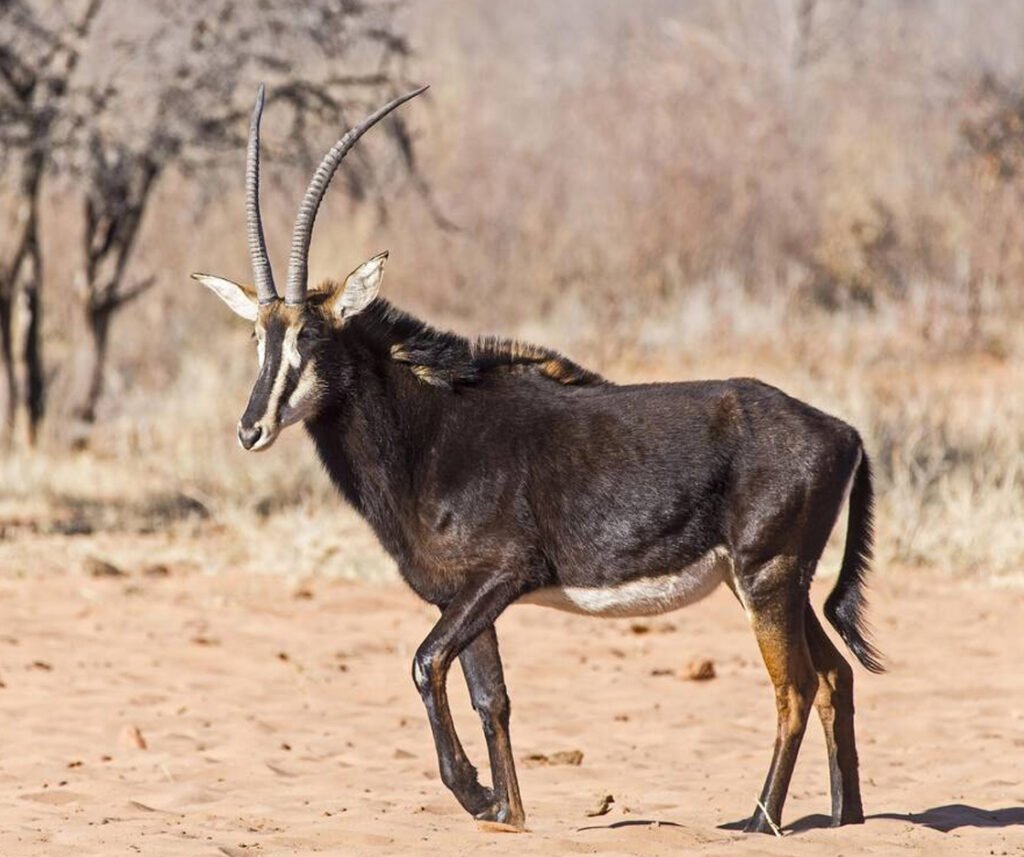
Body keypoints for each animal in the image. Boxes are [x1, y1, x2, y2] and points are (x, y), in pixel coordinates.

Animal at [193, 83, 883, 834]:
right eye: (258, 338)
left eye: (312, 338)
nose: (252, 429)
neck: (430, 431)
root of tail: (843, 431)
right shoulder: (460, 594)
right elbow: (488, 696)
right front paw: (507, 809)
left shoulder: (503, 574)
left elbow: (424, 662)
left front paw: (472, 793)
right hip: (771, 581)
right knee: (836, 677)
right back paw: (845, 818)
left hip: (766, 577)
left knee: (796, 687)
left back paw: (759, 821)